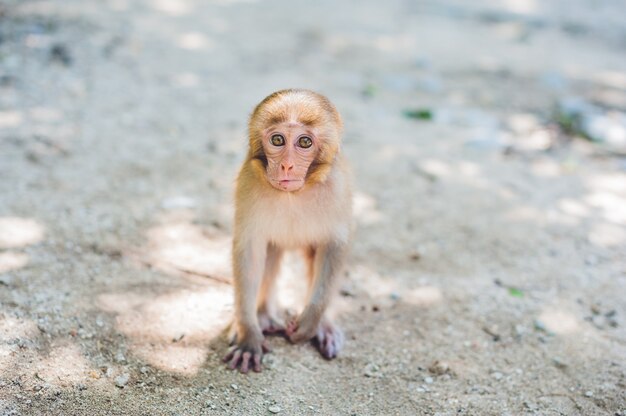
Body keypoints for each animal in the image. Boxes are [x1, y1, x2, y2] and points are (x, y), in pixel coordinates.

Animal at [223, 88, 352, 374]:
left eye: (304, 142)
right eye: (278, 140)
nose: (286, 166)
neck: (294, 193)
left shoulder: (337, 187)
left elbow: (334, 245)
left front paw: (310, 322)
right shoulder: (249, 181)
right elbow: (250, 252)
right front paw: (248, 335)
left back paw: (323, 325)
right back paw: (262, 316)